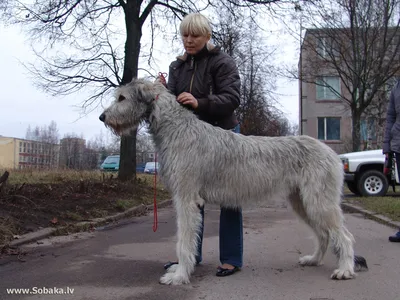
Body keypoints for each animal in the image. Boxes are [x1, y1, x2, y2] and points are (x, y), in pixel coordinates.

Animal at [98, 78, 368, 284]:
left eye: (122, 98)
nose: (102, 117)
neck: (175, 128)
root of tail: (332, 152)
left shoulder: (186, 198)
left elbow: (184, 240)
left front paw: (180, 276)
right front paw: (180, 270)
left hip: (319, 202)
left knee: (343, 236)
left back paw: (345, 269)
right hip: (301, 201)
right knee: (323, 235)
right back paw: (314, 260)